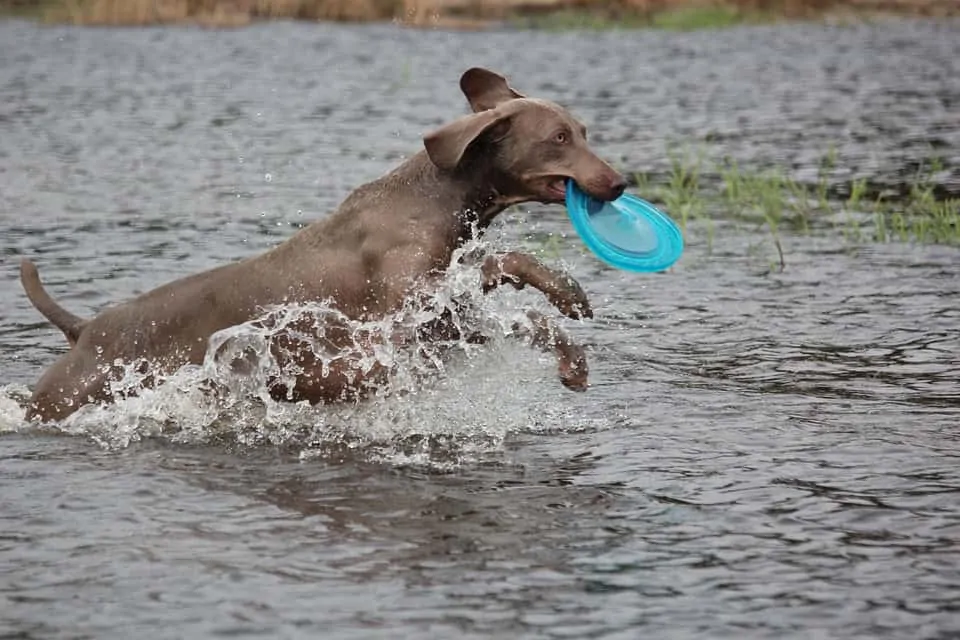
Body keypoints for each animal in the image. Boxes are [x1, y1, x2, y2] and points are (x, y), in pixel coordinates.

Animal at [20, 67, 632, 422]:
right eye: (559, 138)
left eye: (585, 132)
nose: (621, 182)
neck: (437, 197)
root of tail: (84, 329)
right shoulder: (400, 324)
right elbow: (510, 280)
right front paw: (568, 312)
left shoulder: (442, 307)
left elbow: (513, 290)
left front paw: (570, 316)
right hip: (68, 395)